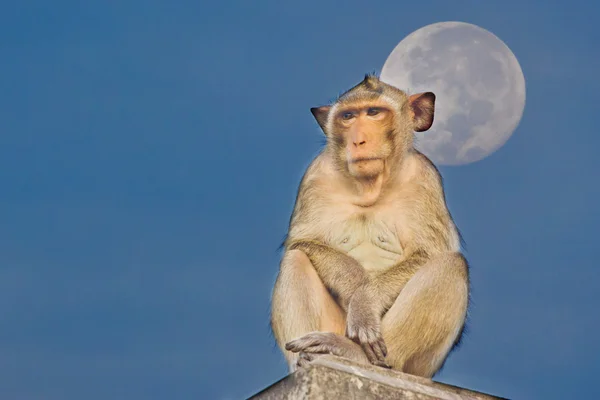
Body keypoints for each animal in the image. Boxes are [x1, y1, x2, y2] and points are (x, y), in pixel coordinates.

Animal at [270, 74, 472, 378]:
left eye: (374, 112)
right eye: (348, 116)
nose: (359, 141)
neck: (370, 187)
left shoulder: (425, 179)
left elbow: (430, 253)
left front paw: (365, 302)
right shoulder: (315, 176)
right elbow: (302, 242)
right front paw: (357, 284)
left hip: (420, 367)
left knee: (451, 265)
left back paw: (358, 356)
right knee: (296, 258)